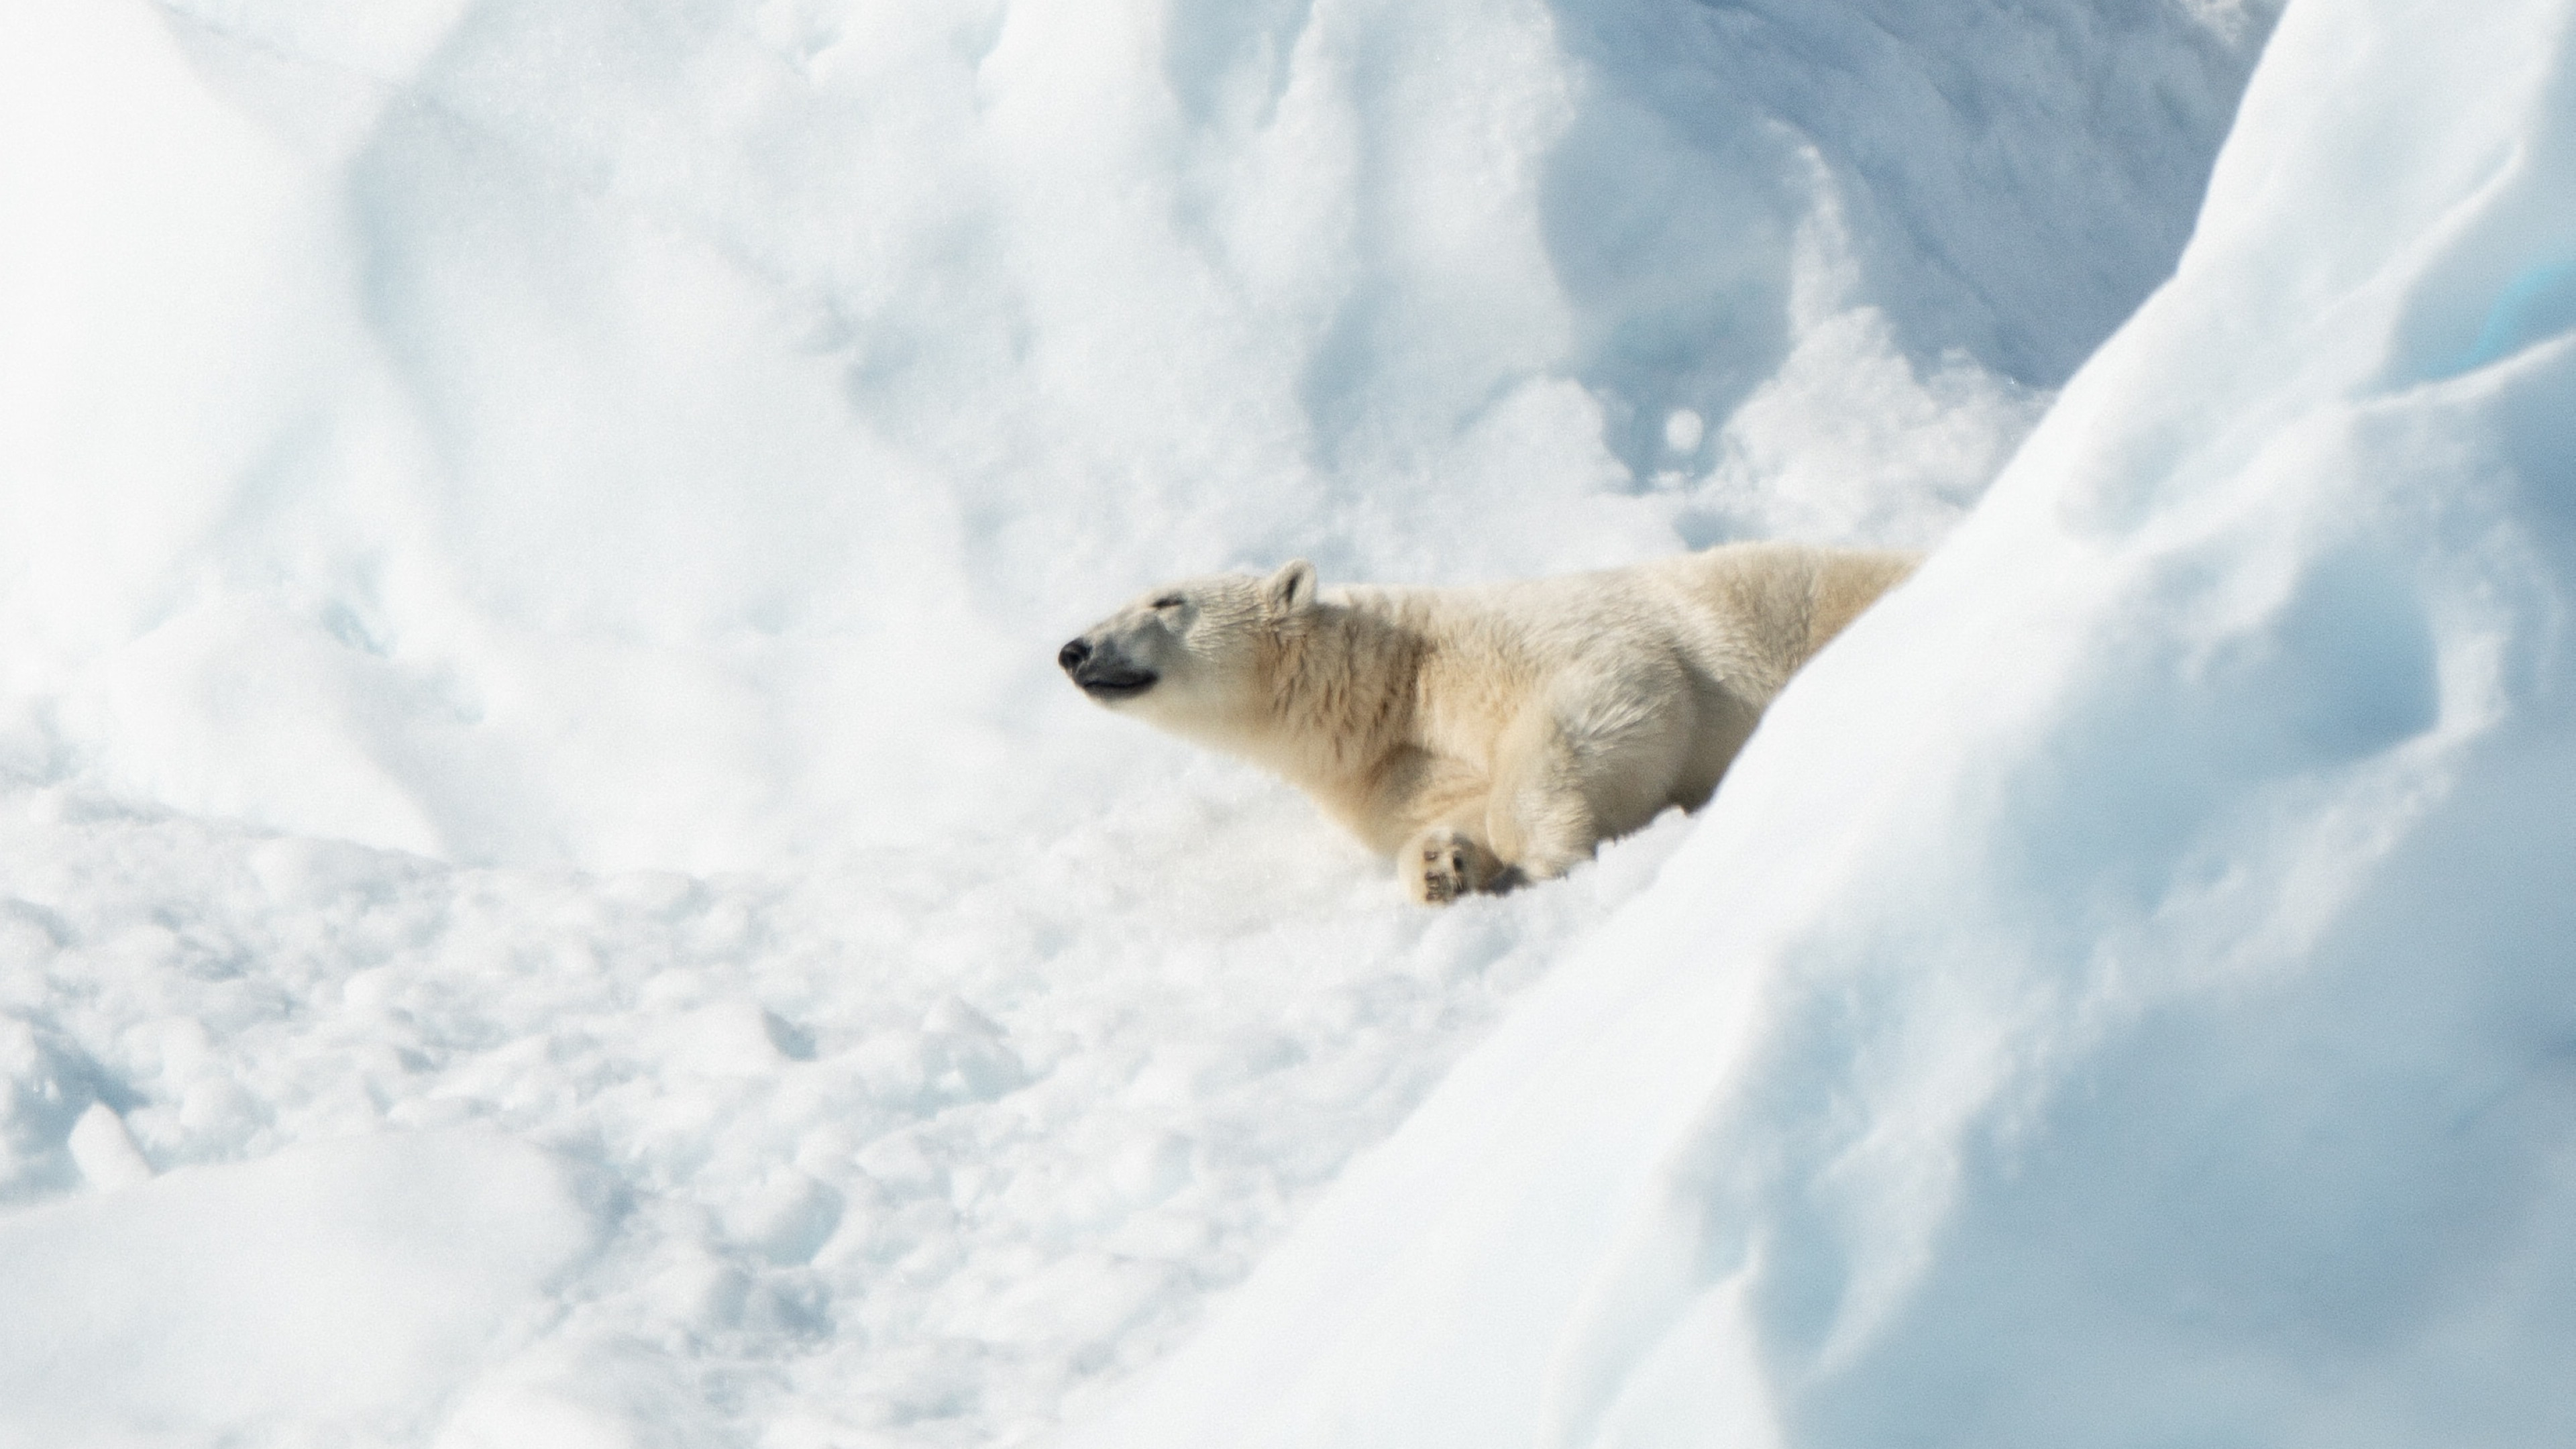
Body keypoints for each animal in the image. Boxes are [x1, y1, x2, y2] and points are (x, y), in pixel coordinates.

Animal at [1051, 541, 1916, 902]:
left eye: (1165, 601)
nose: (1073, 648)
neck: (1388, 681)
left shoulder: (1502, 645)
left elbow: (1621, 686)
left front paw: (1545, 853)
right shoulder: (1390, 772)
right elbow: (1449, 810)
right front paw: (1443, 867)